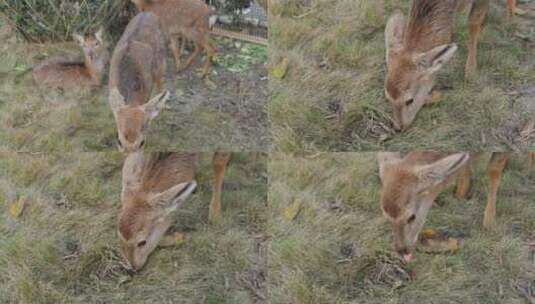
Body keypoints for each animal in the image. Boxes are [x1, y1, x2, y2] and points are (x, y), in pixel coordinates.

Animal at [376, 151, 520, 262]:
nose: (402, 251)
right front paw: (460, 195)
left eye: (411, 217)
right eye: (386, 216)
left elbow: (494, 168)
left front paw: (489, 222)